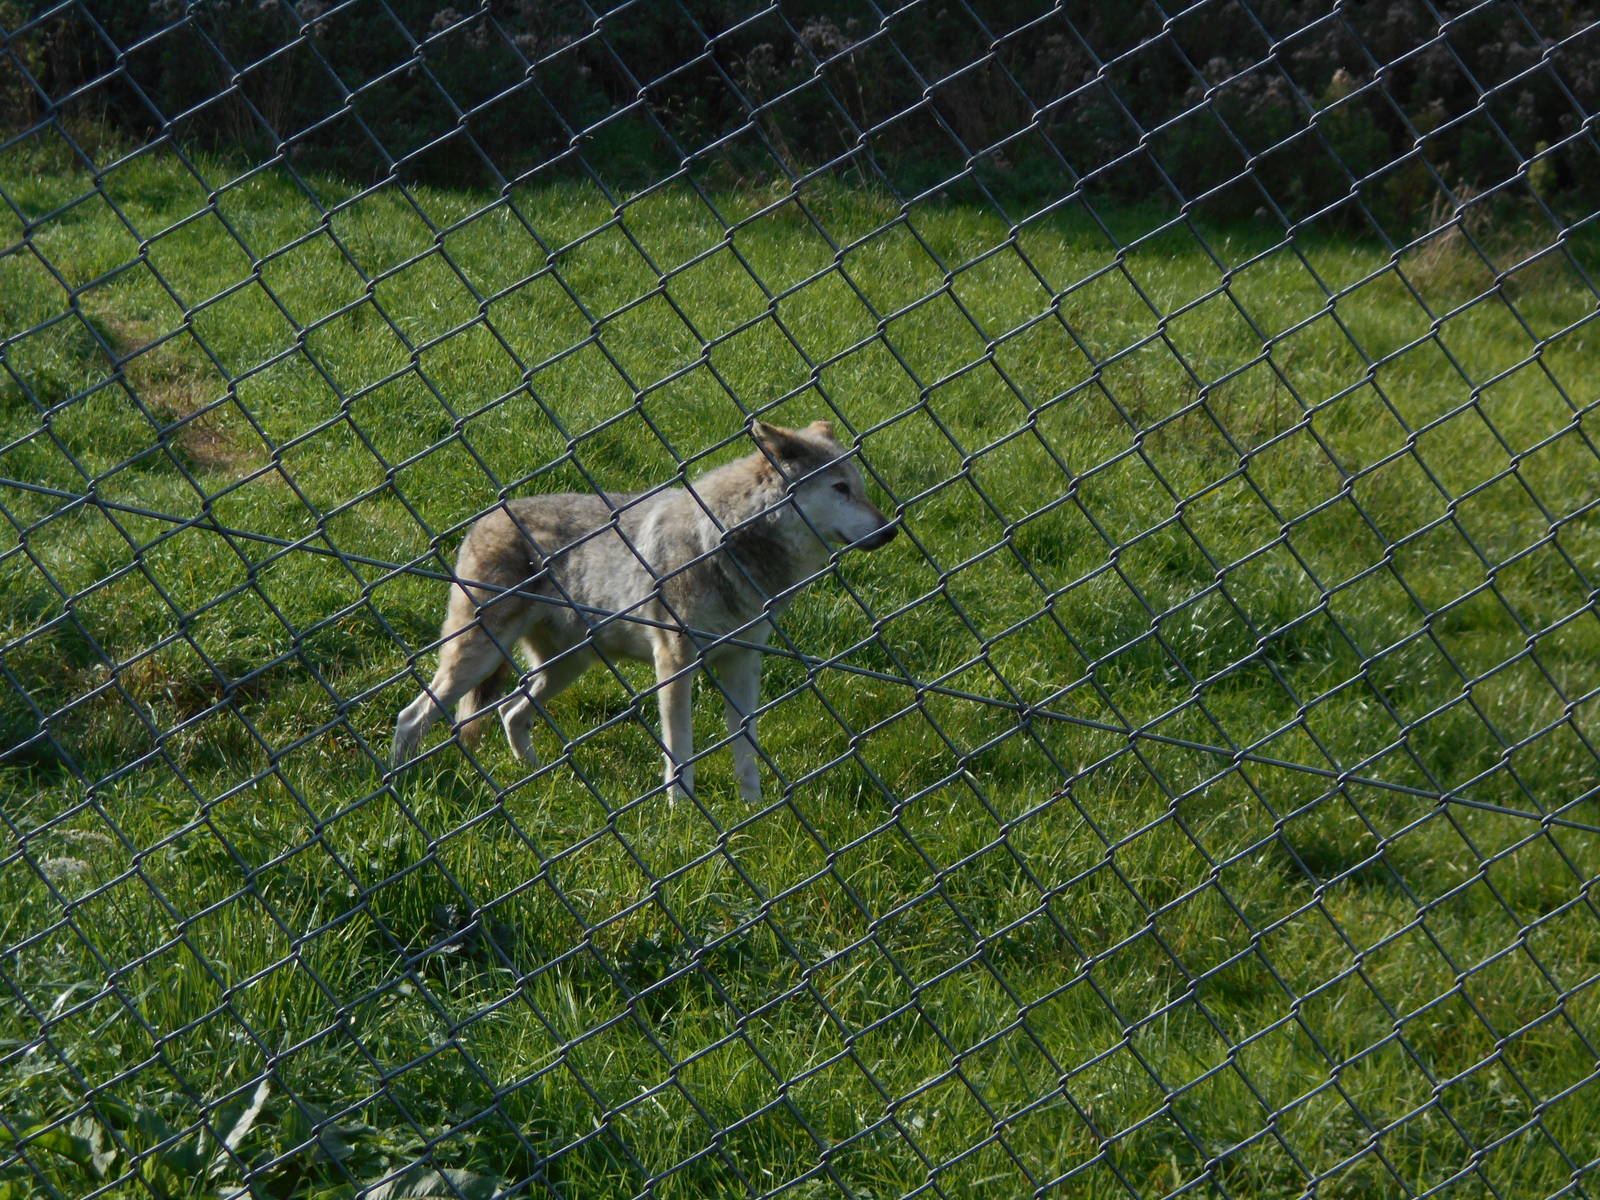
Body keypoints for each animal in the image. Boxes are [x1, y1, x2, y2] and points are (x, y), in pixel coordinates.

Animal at [390, 418, 897, 802]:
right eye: (840, 488)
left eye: (860, 488)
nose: (891, 531)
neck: (732, 543)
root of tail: (484, 518)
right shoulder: (674, 663)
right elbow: (680, 748)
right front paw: (681, 813)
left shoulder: (744, 662)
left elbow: (746, 746)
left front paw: (752, 810)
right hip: (480, 658)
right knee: (411, 717)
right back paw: (401, 781)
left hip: (567, 665)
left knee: (512, 712)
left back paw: (540, 779)